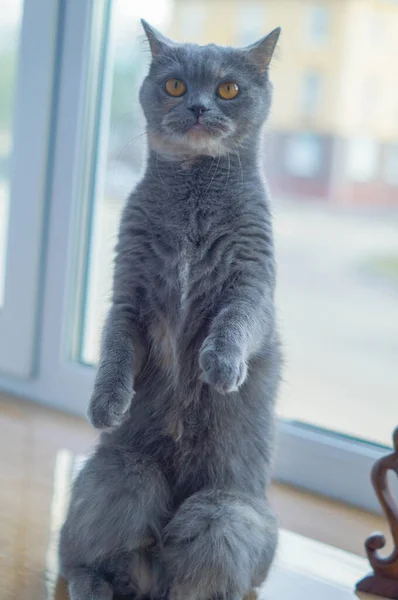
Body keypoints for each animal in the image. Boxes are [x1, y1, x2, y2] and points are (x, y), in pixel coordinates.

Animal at [59, 18, 282, 600]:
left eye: (228, 88)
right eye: (176, 85)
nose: (200, 107)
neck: (193, 198)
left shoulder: (252, 282)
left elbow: (236, 319)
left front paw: (220, 366)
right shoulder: (129, 293)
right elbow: (115, 348)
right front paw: (106, 404)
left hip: (225, 515)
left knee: (197, 573)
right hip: (120, 474)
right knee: (79, 553)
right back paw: (93, 586)